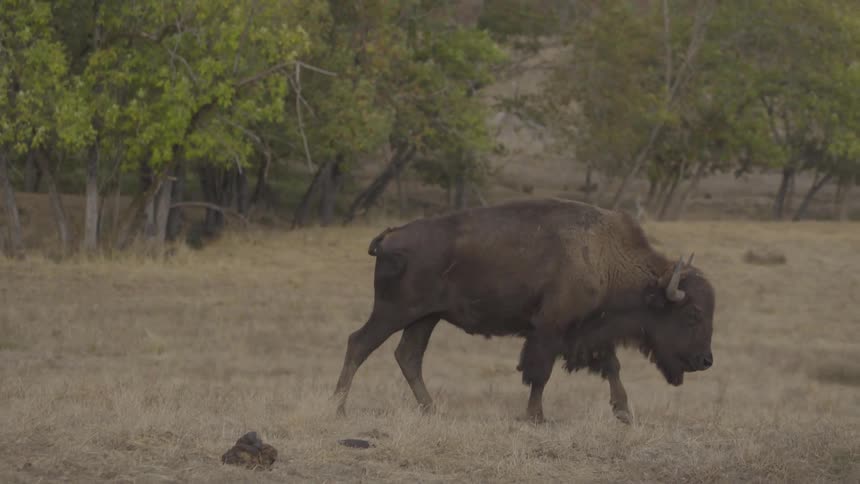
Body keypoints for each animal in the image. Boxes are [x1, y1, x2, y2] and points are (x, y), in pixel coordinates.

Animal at [333, 198, 715, 423]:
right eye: (693, 314)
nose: (705, 361)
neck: (605, 257)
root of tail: (391, 236)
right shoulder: (549, 329)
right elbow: (539, 373)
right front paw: (535, 417)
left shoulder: (590, 330)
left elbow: (611, 366)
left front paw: (623, 413)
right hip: (394, 312)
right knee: (359, 343)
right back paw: (339, 408)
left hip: (425, 318)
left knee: (408, 356)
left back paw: (433, 410)